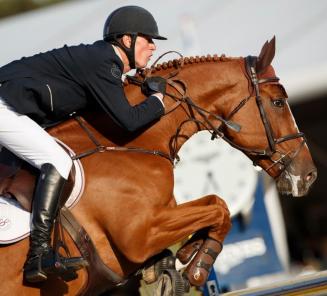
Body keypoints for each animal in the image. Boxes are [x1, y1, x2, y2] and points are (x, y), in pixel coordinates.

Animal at [0, 37, 318, 296]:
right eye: (278, 102)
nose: (309, 174)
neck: (126, 143)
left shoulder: (159, 221)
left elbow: (213, 205)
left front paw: (186, 253)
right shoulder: (140, 234)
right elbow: (220, 207)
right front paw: (197, 268)